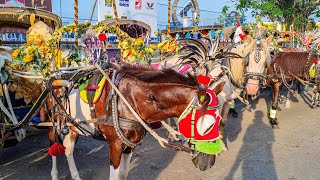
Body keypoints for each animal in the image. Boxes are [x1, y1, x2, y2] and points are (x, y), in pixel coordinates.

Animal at [42, 65, 224, 180]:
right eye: (205, 125)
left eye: (219, 121)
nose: (208, 163)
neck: (130, 99)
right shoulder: (115, 145)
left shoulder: (130, 144)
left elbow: (123, 174)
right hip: (52, 122)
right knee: (54, 145)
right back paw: (54, 174)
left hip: (73, 126)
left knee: (68, 149)